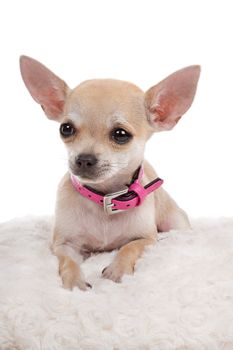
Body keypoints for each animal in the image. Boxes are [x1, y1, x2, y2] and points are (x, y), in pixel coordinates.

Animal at [19, 56, 200, 290]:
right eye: (65, 129)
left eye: (120, 134)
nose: (83, 159)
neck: (105, 197)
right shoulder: (65, 245)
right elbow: (68, 262)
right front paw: (75, 283)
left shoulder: (148, 239)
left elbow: (129, 247)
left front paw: (118, 270)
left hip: (176, 224)